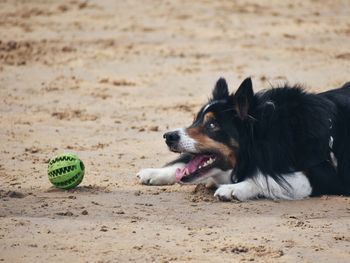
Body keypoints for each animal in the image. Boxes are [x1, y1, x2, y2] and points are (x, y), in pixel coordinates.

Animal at [137, 77, 350, 201]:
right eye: (195, 120)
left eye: (212, 125)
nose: (168, 137)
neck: (269, 133)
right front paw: (155, 172)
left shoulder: (324, 175)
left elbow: (267, 179)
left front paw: (234, 189)